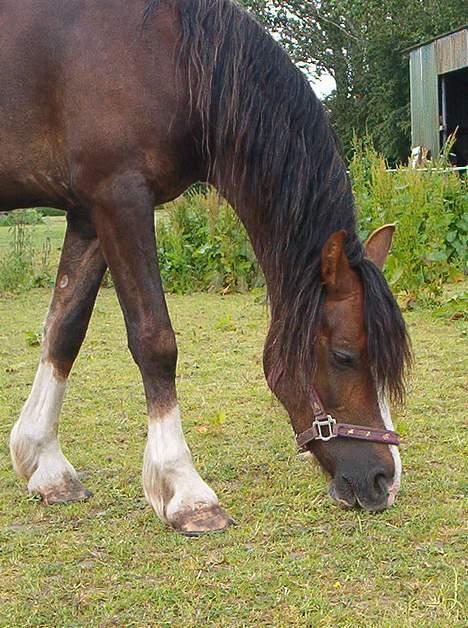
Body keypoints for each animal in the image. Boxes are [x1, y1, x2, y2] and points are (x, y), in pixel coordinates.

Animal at [1, 0, 410, 536]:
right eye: (344, 356)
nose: (385, 481)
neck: (165, 56)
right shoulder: (119, 196)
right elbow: (155, 342)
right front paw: (186, 492)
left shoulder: (87, 212)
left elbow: (64, 330)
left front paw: (45, 466)